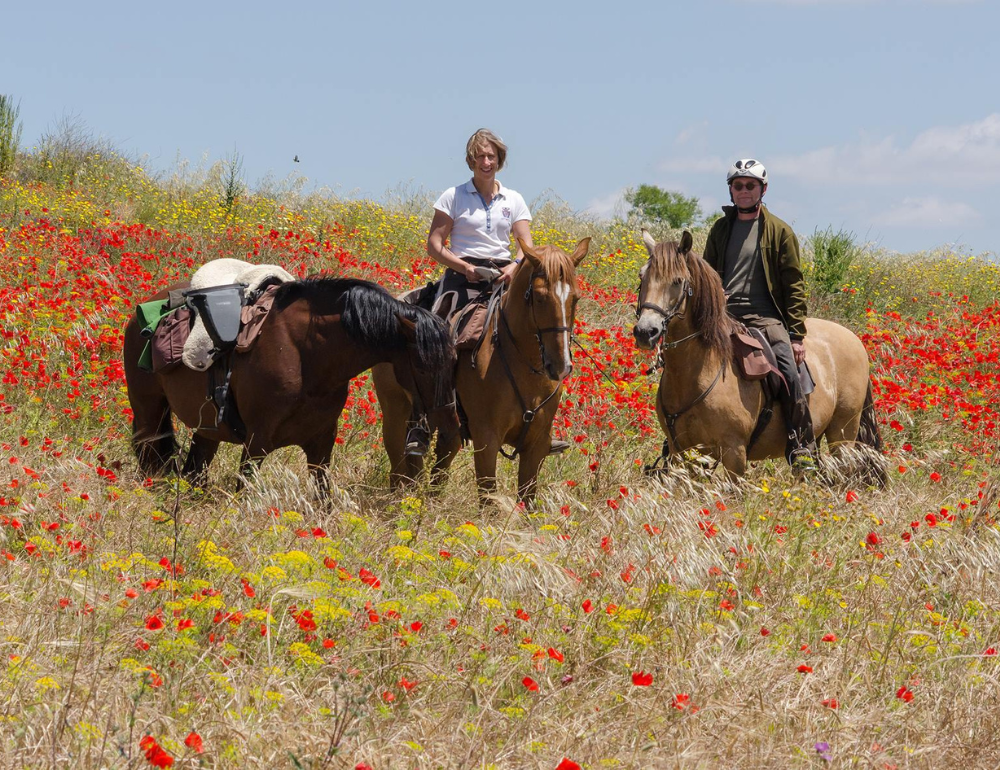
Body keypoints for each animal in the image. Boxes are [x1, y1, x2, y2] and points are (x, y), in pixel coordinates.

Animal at [122, 274, 460, 492]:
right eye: (422, 365)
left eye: (454, 360)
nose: (451, 428)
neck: (306, 353)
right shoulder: (256, 441)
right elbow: (244, 491)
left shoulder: (322, 443)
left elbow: (323, 497)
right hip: (148, 411)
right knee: (148, 452)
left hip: (208, 428)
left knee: (196, 465)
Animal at [372, 238, 588, 504]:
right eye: (538, 297)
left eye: (575, 298)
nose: (560, 366)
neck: (526, 366)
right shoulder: (487, 440)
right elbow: (488, 499)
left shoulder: (537, 445)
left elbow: (527, 500)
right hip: (394, 410)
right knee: (398, 468)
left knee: (437, 466)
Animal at [632, 228, 884, 484]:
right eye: (642, 276)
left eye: (677, 281)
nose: (645, 331)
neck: (702, 370)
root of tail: (854, 340)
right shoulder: (682, 453)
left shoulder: (734, 453)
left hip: (843, 433)